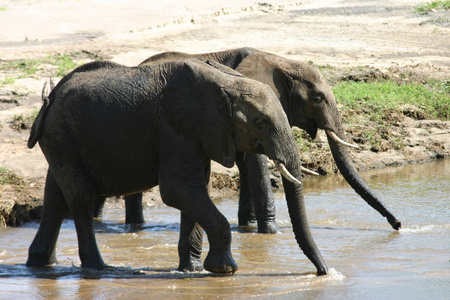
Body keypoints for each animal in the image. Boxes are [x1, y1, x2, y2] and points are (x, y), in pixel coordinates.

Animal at [25, 57, 326, 276]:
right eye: (261, 122)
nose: (322, 272)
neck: (225, 82)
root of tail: (50, 97)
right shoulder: (174, 130)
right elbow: (178, 190)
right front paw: (225, 270)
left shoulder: (199, 133)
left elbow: (195, 191)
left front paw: (191, 270)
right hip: (63, 135)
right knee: (80, 198)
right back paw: (99, 268)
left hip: (61, 140)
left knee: (56, 197)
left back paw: (41, 264)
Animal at [105, 48, 400, 233]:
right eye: (317, 99)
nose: (398, 225)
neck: (282, 61)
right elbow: (256, 165)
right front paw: (271, 233)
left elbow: (249, 165)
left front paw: (248, 226)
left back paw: (135, 228)